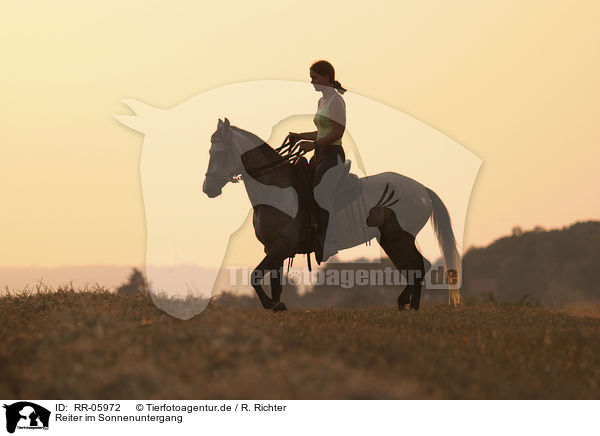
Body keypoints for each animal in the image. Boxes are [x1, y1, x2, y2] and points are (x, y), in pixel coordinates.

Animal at [204, 118, 462, 310]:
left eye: (219, 152)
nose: (208, 188)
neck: (276, 189)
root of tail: (422, 189)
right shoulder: (273, 249)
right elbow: (275, 284)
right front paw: (277, 307)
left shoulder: (281, 247)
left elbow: (255, 276)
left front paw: (270, 304)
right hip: (391, 239)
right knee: (415, 266)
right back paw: (406, 304)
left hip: (399, 237)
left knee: (418, 265)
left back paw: (410, 305)